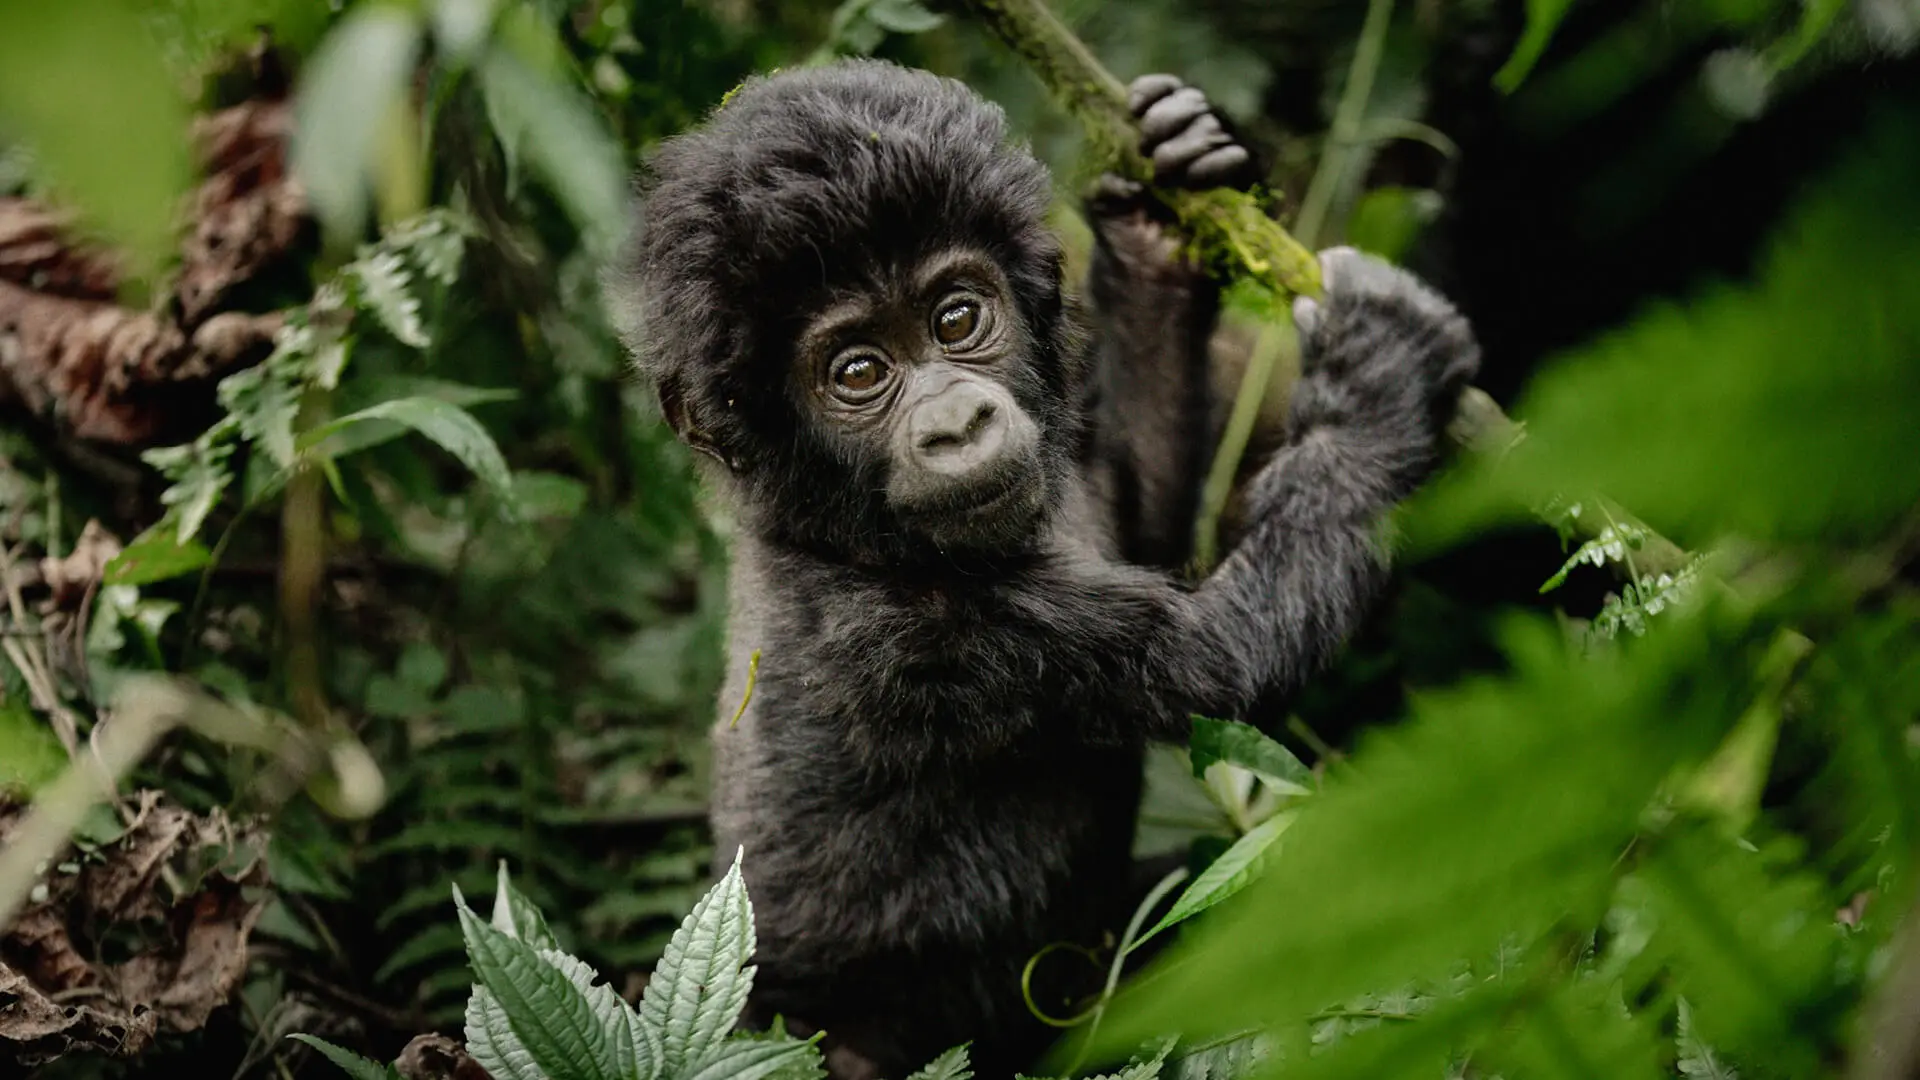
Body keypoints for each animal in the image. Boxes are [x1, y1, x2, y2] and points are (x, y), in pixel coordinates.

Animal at [603, 58, 1480, 1080]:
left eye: (956, 317)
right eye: (857, 373)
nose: (957, 424)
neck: (833, 535)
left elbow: (1140, 505)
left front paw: (1158, 213)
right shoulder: (913, 638)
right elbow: (1221, 664)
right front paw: (1378, 375)